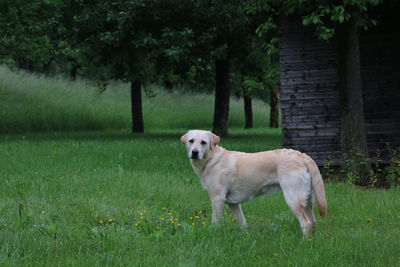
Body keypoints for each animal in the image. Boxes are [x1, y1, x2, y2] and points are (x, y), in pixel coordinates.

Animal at [181, 130, 328, 237]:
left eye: (203, 143)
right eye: (191, 141)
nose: (194, 152)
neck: (211, 159)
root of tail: (302, 155)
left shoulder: (217, 199)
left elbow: (215, 222)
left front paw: (214, 233)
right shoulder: (233, 203)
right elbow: (243, 223)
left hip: (293, 198)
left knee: (306, 223)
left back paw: (303, 243)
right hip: (307, 201)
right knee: (313, 222)